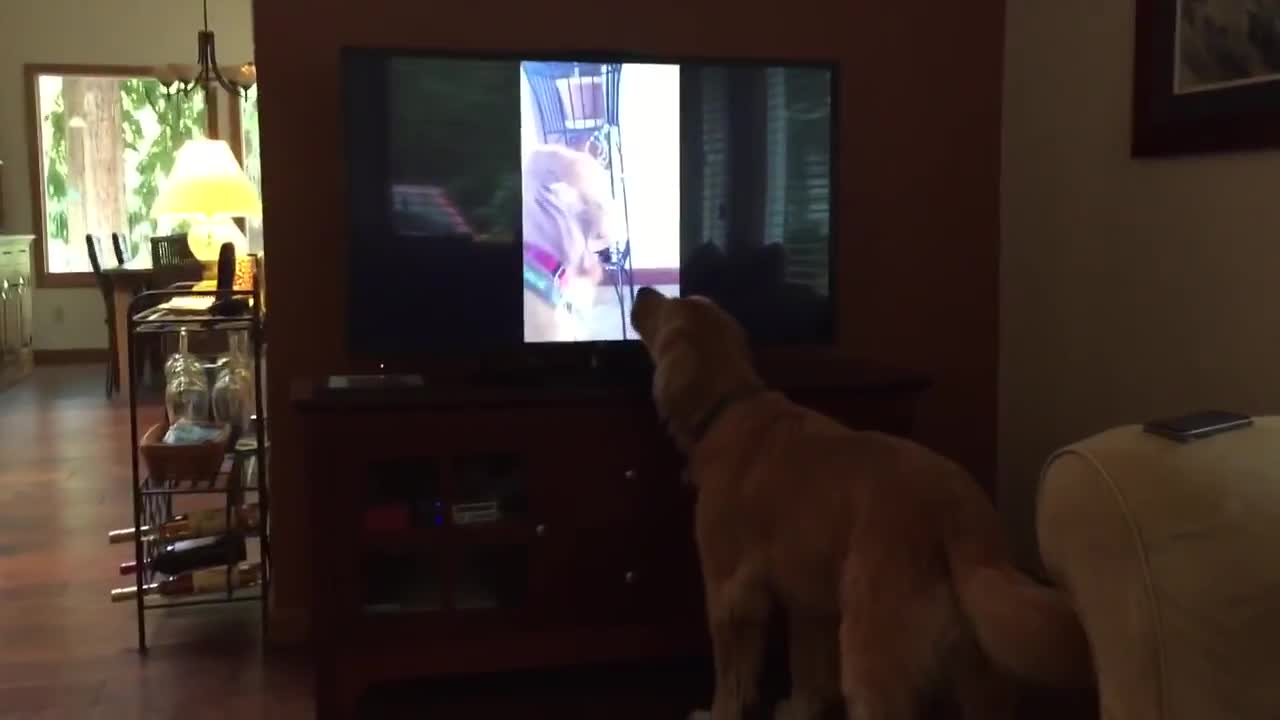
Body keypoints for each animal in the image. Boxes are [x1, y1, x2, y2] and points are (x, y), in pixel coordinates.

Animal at [629, 286, 1090, 717]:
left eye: (667, 305)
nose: (642, 291)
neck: (729, 406)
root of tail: (957, 507)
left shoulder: (727, 590)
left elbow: (731, 676)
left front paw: (717, 713)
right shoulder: (808, 601)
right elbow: (806, 669)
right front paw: (798, 710)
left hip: (871, 635)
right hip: (976, 664)